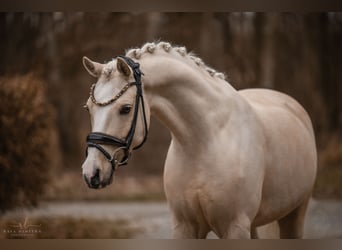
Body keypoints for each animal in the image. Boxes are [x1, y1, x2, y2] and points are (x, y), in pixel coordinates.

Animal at [81, 41, 316, 238]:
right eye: (89, 108)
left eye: (126, 108)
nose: (91, 173)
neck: (205, 140)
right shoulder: (184, 226)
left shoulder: (235, 226)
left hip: (295, 214)